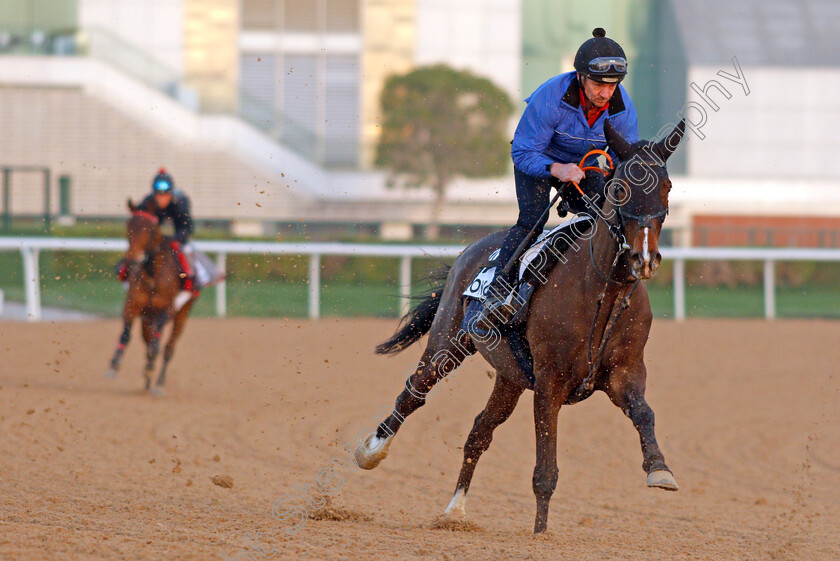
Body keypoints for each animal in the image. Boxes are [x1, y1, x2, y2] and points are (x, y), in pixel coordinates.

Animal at [103, 199, 197, 396]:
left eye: (151, 229)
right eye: (129, 225)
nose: (132, 260)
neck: (154, 274)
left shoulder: (167, 309)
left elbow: (157, 345)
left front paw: (152, 370)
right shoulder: (133, 304)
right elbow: (126, 334)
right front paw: (114, 364)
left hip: (183, 313)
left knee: (168, 347)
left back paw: (159, 383)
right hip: (147, 317)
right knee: (148, 340)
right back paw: (147, 378)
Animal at [354, 120, 688, 532]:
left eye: (667, 186)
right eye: (620, 188)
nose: (645, 257)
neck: (603, 290)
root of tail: (469, 252)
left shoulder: (624, 372)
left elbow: (644, 413)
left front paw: (660, 470)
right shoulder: (548, 383)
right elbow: (545, 470)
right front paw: (540, 533)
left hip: (510, 376)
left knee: (479, 431)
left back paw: (455, 511)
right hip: (447, 343)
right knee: (414, 393)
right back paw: (371, 452)